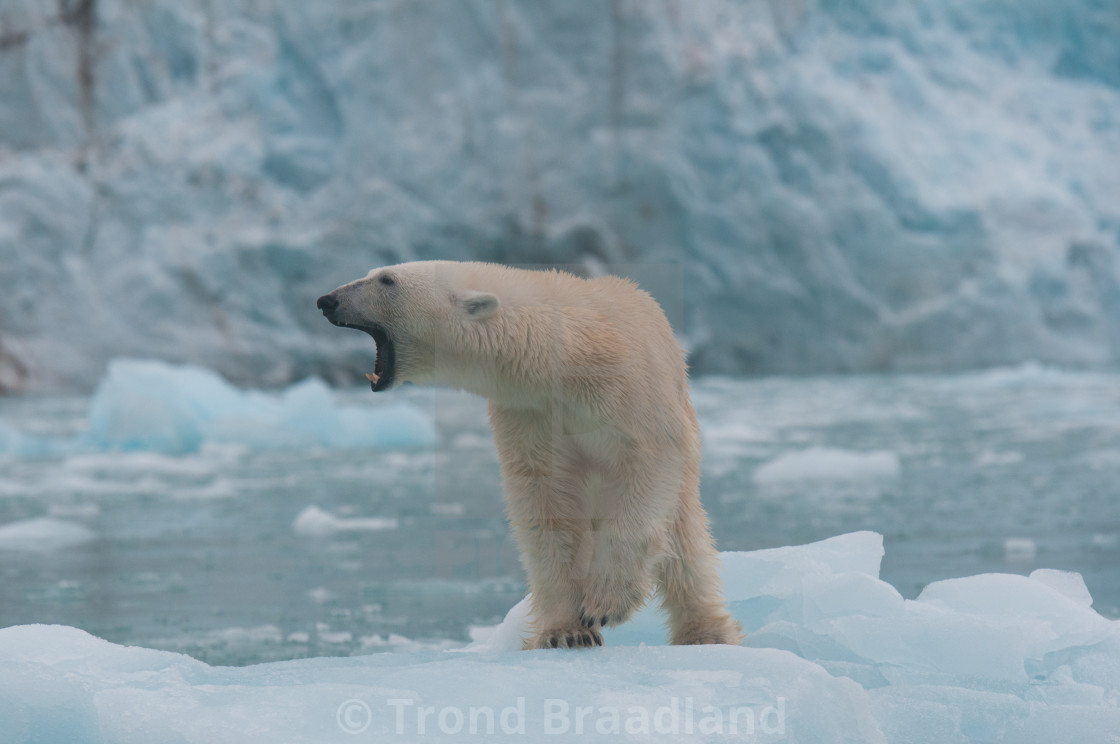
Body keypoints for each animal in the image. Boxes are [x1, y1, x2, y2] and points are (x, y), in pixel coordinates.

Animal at [315, 263, 739, 649]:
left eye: (387, 280)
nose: (326, 300)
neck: (566, 356)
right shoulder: (529, 411)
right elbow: (544, 501)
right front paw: (565, 632)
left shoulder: (630, 389)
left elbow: (647, 463)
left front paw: (604, 604)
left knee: (684, 542)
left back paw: (705, 633)